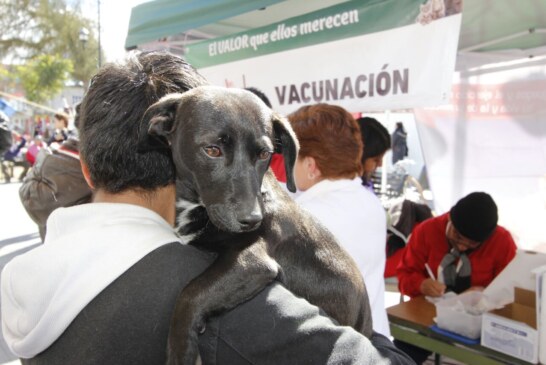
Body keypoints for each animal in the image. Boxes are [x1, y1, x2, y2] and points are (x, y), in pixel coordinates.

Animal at [142, 86, 372, 364]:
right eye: (212, 150)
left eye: (265, 154)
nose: (253, 219)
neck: (196, 206)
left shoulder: (252, 262)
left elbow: (190, 293)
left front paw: (181, 350)